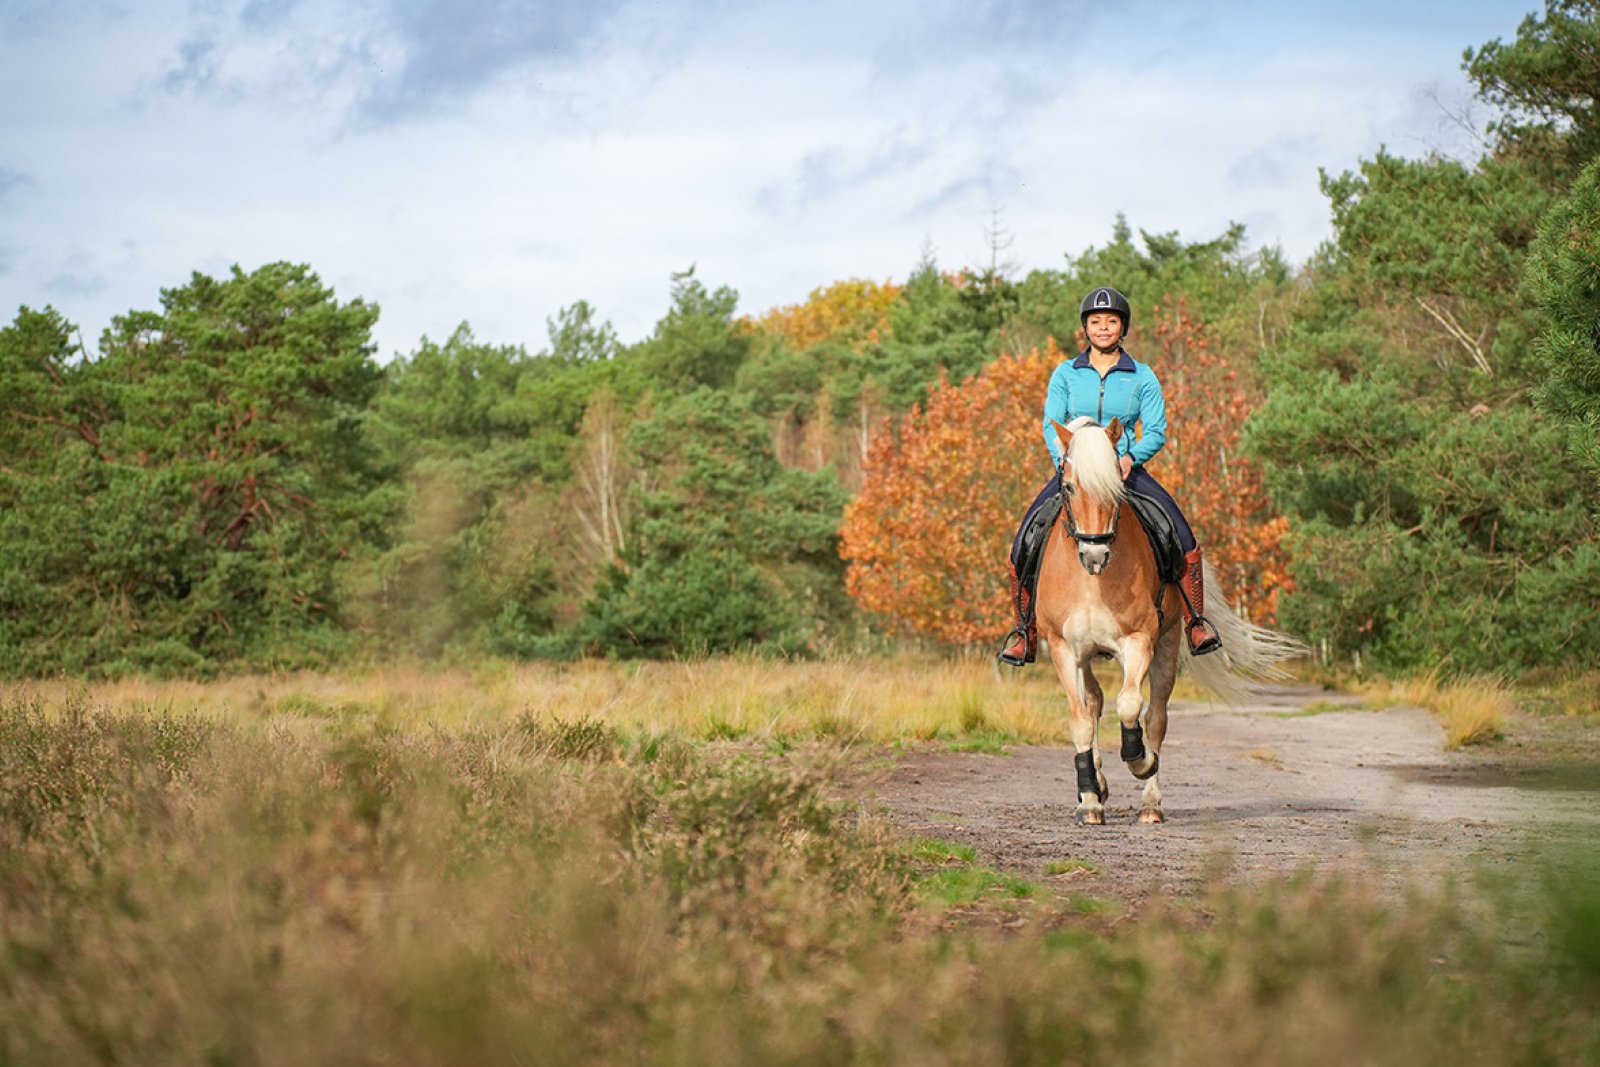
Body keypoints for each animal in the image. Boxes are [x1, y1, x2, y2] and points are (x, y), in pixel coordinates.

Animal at [1036, 415, 1312, 825]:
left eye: (1116, 487)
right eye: (1069, 486)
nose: (1095, 554)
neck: (1092, 582)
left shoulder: (1139, 641)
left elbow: (1131, 706)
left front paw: (1140, 761)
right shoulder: (1063, 649)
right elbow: (1081, 719)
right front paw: (1089, 800)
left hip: (1166, 646)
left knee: (1156, 716)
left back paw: (1150, 803)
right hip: (1086, 656)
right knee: (1095, 702)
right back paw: (1098, 784)